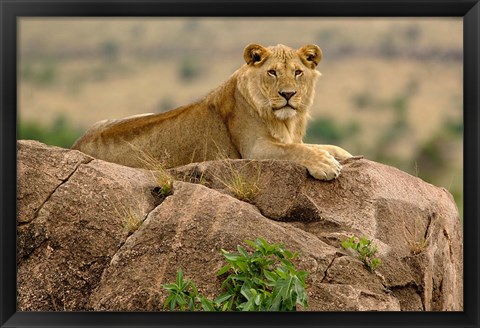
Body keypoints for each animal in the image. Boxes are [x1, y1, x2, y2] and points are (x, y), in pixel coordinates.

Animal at [74, 43, 352, 181]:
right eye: (272, 72)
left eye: (298, 72)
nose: (288, 94)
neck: (286, 121)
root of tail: (77, 144)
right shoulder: (254, 149)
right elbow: (294, 150)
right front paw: (325, 165)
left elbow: (326, 146)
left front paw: (341, 156)